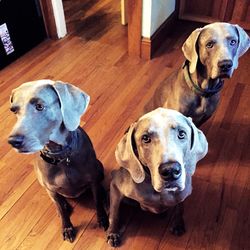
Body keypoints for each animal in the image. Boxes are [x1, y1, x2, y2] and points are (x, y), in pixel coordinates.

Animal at [8, 79, 108, 242]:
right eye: (14, 110)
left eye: (39, 106)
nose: (13, 141)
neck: (61, 156)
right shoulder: (51, 188)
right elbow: (61, 210)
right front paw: (67, 227)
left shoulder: (92, 179)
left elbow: (97, 201)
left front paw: (103, 218)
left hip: (99, 167)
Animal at [106, 107, 208, 246]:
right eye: (145, 138)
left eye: (182, 134)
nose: (170, 170)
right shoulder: (115, 185)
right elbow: (114, 213)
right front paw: (113, 233)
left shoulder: (183, 193)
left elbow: (180, 207)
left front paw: (178, 224)